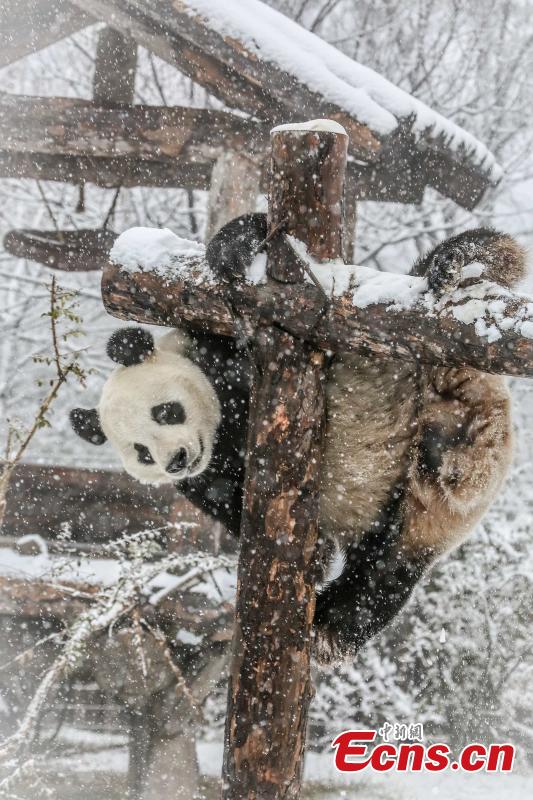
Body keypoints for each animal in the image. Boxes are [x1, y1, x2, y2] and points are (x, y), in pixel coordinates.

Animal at [71, 214, 526, 664]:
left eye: (166, 411)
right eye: (142, 453)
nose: (178, 459)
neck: (220, 431)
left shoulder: (220, 351)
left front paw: (232, 251)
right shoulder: (207, 477)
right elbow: (230, 502)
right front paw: (315, 554)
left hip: (415, 358)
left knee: (472, 259)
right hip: (406, 507)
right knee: (383, 572)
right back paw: (329, 625)